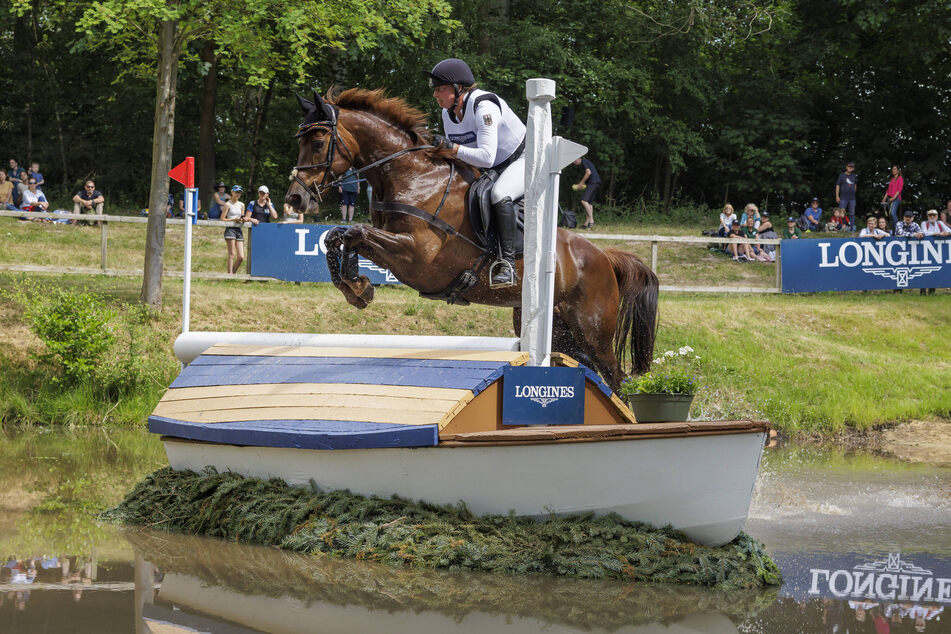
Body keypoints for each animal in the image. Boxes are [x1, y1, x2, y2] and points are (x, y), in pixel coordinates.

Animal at [282, 88, 656, 390]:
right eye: (300, 142)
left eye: (318, 143)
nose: (295, 199)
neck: (411, 175)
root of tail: (604, 256)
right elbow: (339, 236)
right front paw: (356, 287)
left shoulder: (418, 257)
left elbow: (356, 232)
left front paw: (357, 286)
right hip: (559, 332)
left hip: (592, 331)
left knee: (616, 376)